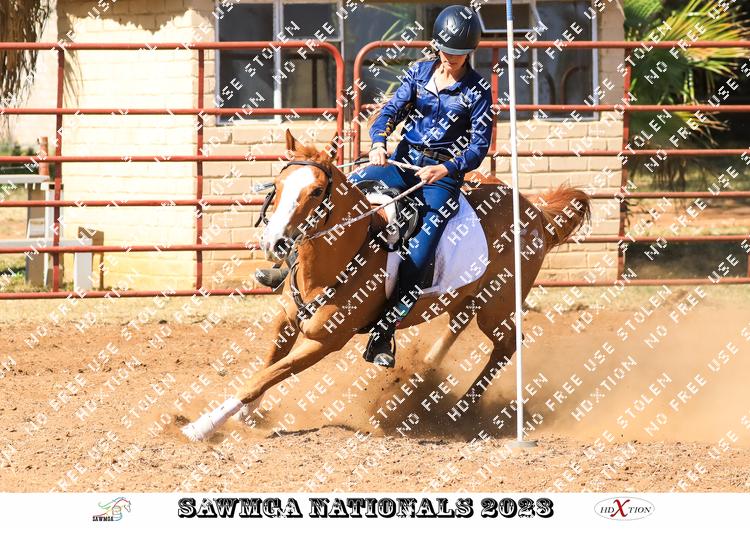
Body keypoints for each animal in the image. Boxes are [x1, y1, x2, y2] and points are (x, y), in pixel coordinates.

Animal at [180, 129, 591, 441]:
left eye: (316, 192)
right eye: (279, 184)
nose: (274, 243)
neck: (347, 252)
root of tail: (536, 213)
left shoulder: (323, 342)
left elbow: (263, 376)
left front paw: (203, 426)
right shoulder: (287, 320)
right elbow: (266, 365)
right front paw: (247, 415)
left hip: (498, 305)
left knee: (507, 345)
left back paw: (459, 410)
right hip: (466, 297)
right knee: (456, 327)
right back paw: (425, 378)